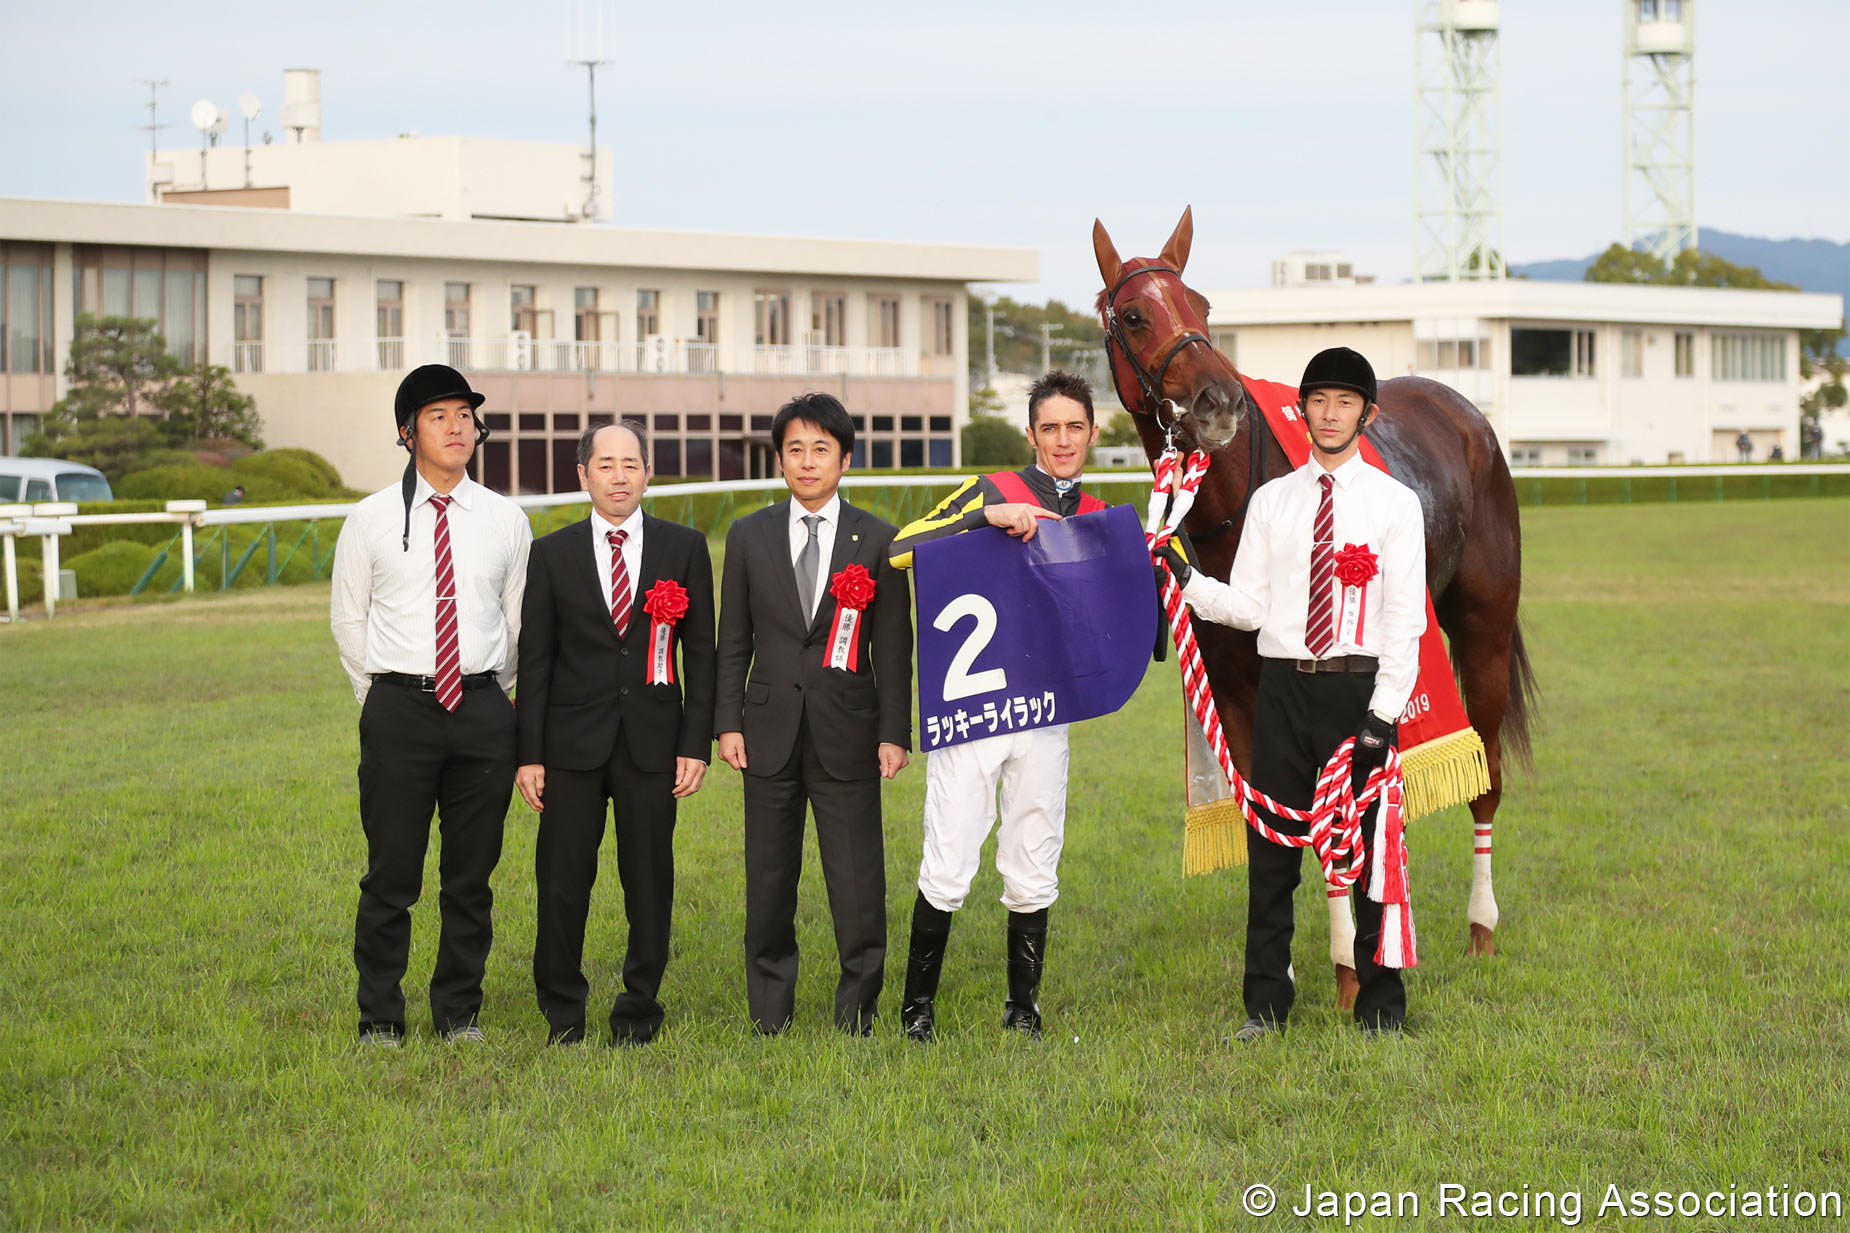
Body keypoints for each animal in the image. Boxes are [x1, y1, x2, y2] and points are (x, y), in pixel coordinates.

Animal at [1087, 206, 1539, 992]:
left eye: (1202, 305)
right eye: (1136, 315)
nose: (1218, 402)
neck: (1240, 509)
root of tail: (1466, 413)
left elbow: (1325, 818)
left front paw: (1345, 967)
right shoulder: (1238, 694)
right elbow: (1270, 822)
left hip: (1482, 627)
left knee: (1485, 777)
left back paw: (1480, 925)